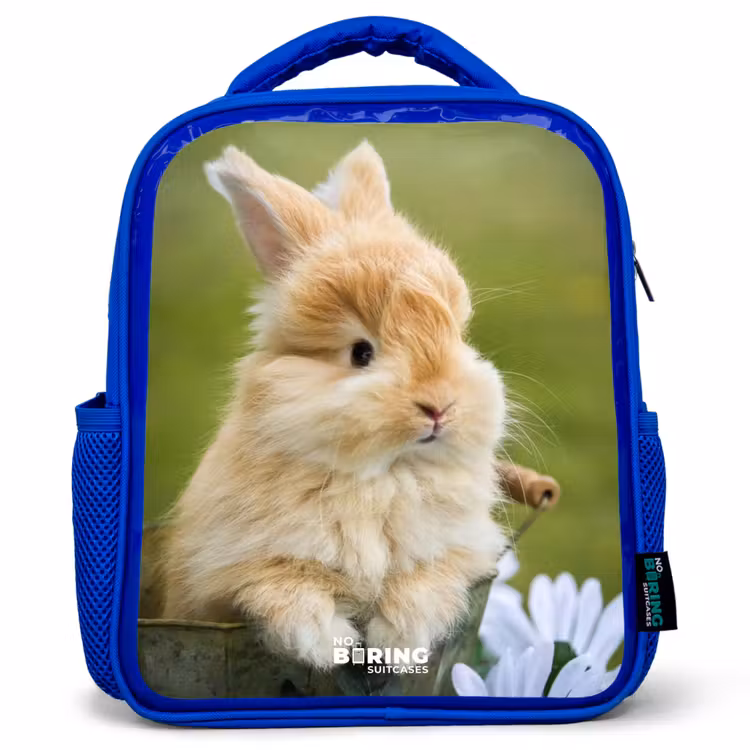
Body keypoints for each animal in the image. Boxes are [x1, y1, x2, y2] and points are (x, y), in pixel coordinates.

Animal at [160, 141, 559, 669]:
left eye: (458, 335)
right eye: (361, 353)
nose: (440, 407)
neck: (384, 478)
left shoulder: (462, 551)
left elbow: (425, 580)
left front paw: (398, 644)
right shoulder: (225, 572)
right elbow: (282, 585)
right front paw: (329, 644)